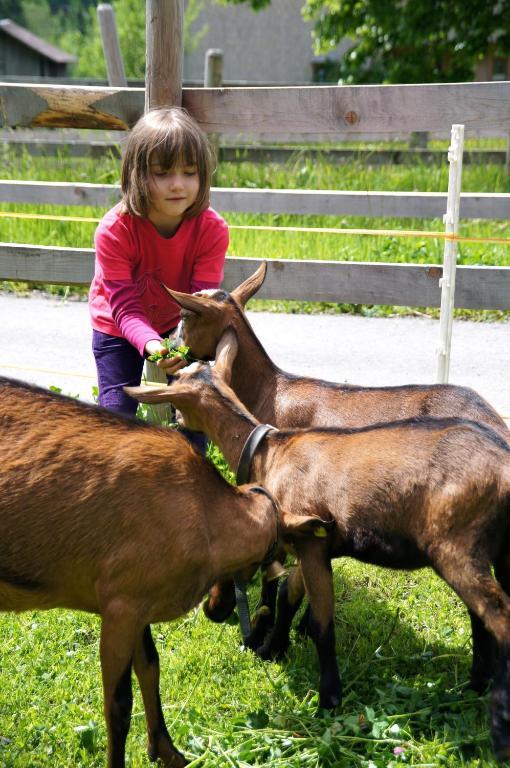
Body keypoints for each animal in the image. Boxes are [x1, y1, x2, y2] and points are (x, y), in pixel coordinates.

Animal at [0, 376, 318, 768]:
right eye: (263, 560)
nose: (216, 610)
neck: (204, 512)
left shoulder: (137, 600)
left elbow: (151, 668)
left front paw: (167, 751)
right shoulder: (119, 607)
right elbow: (118, 705)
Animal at [128, 332, 510, 760]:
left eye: (177, 390)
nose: (176, 422)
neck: (269, 452)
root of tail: (505, 464)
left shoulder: (310, 544)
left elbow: (323, 624)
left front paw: (328, 701)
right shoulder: (308, 545)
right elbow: (288, 596)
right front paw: (273, 648)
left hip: (457, 547)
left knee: (499, 617)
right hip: (497, 551)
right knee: (482, 616)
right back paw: (473, 686)